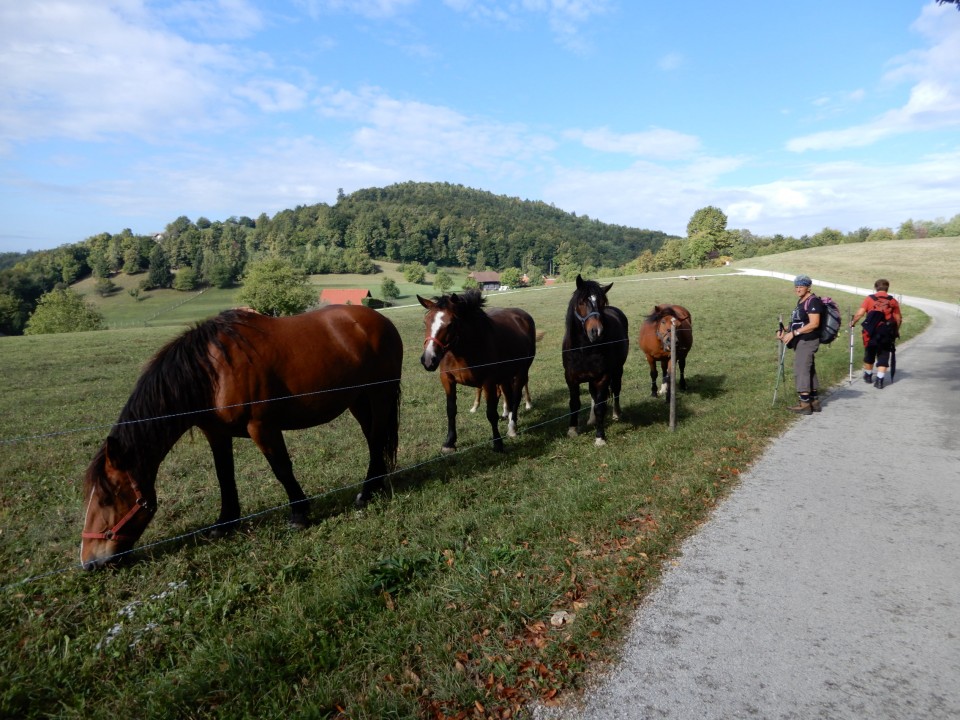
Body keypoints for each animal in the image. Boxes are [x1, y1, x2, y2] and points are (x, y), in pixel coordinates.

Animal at [77, 306, 402, 572]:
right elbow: (225, 476)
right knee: (373, 440)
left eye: (106, 497)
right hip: (358, 400)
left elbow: (281, 469)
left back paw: (367, 491)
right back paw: (374, 485)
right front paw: (225, 523)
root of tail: (380, 320)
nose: (89, 562)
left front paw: (299, 514)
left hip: (379, 394)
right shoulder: (216, 434)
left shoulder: (262, 427)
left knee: (376, 439)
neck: (212, 374)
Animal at [416, 290, 536, 452]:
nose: (429, 360)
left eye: (451, 324)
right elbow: (451, 410)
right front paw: (449, 442)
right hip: (505, 376)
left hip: (521, 372)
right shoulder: (447, 379)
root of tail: (522, 315)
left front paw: (497, 443)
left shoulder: (488, 382)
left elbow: (491, 413)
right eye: (426, 322)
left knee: (516, 397)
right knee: (508, 395)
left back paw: (512, 427)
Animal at [564, 274, 632, 444]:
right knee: (593, 395)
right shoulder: (570, 377)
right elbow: (574, 403)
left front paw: (600, 437)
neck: (583, 349)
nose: (597, 331)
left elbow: (600, 406)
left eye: (601, 303)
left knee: (616, 389)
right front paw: (572, 430)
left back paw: (616, 414)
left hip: (618, 369)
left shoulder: (602, 377)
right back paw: (592, 419)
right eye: (581, 302)